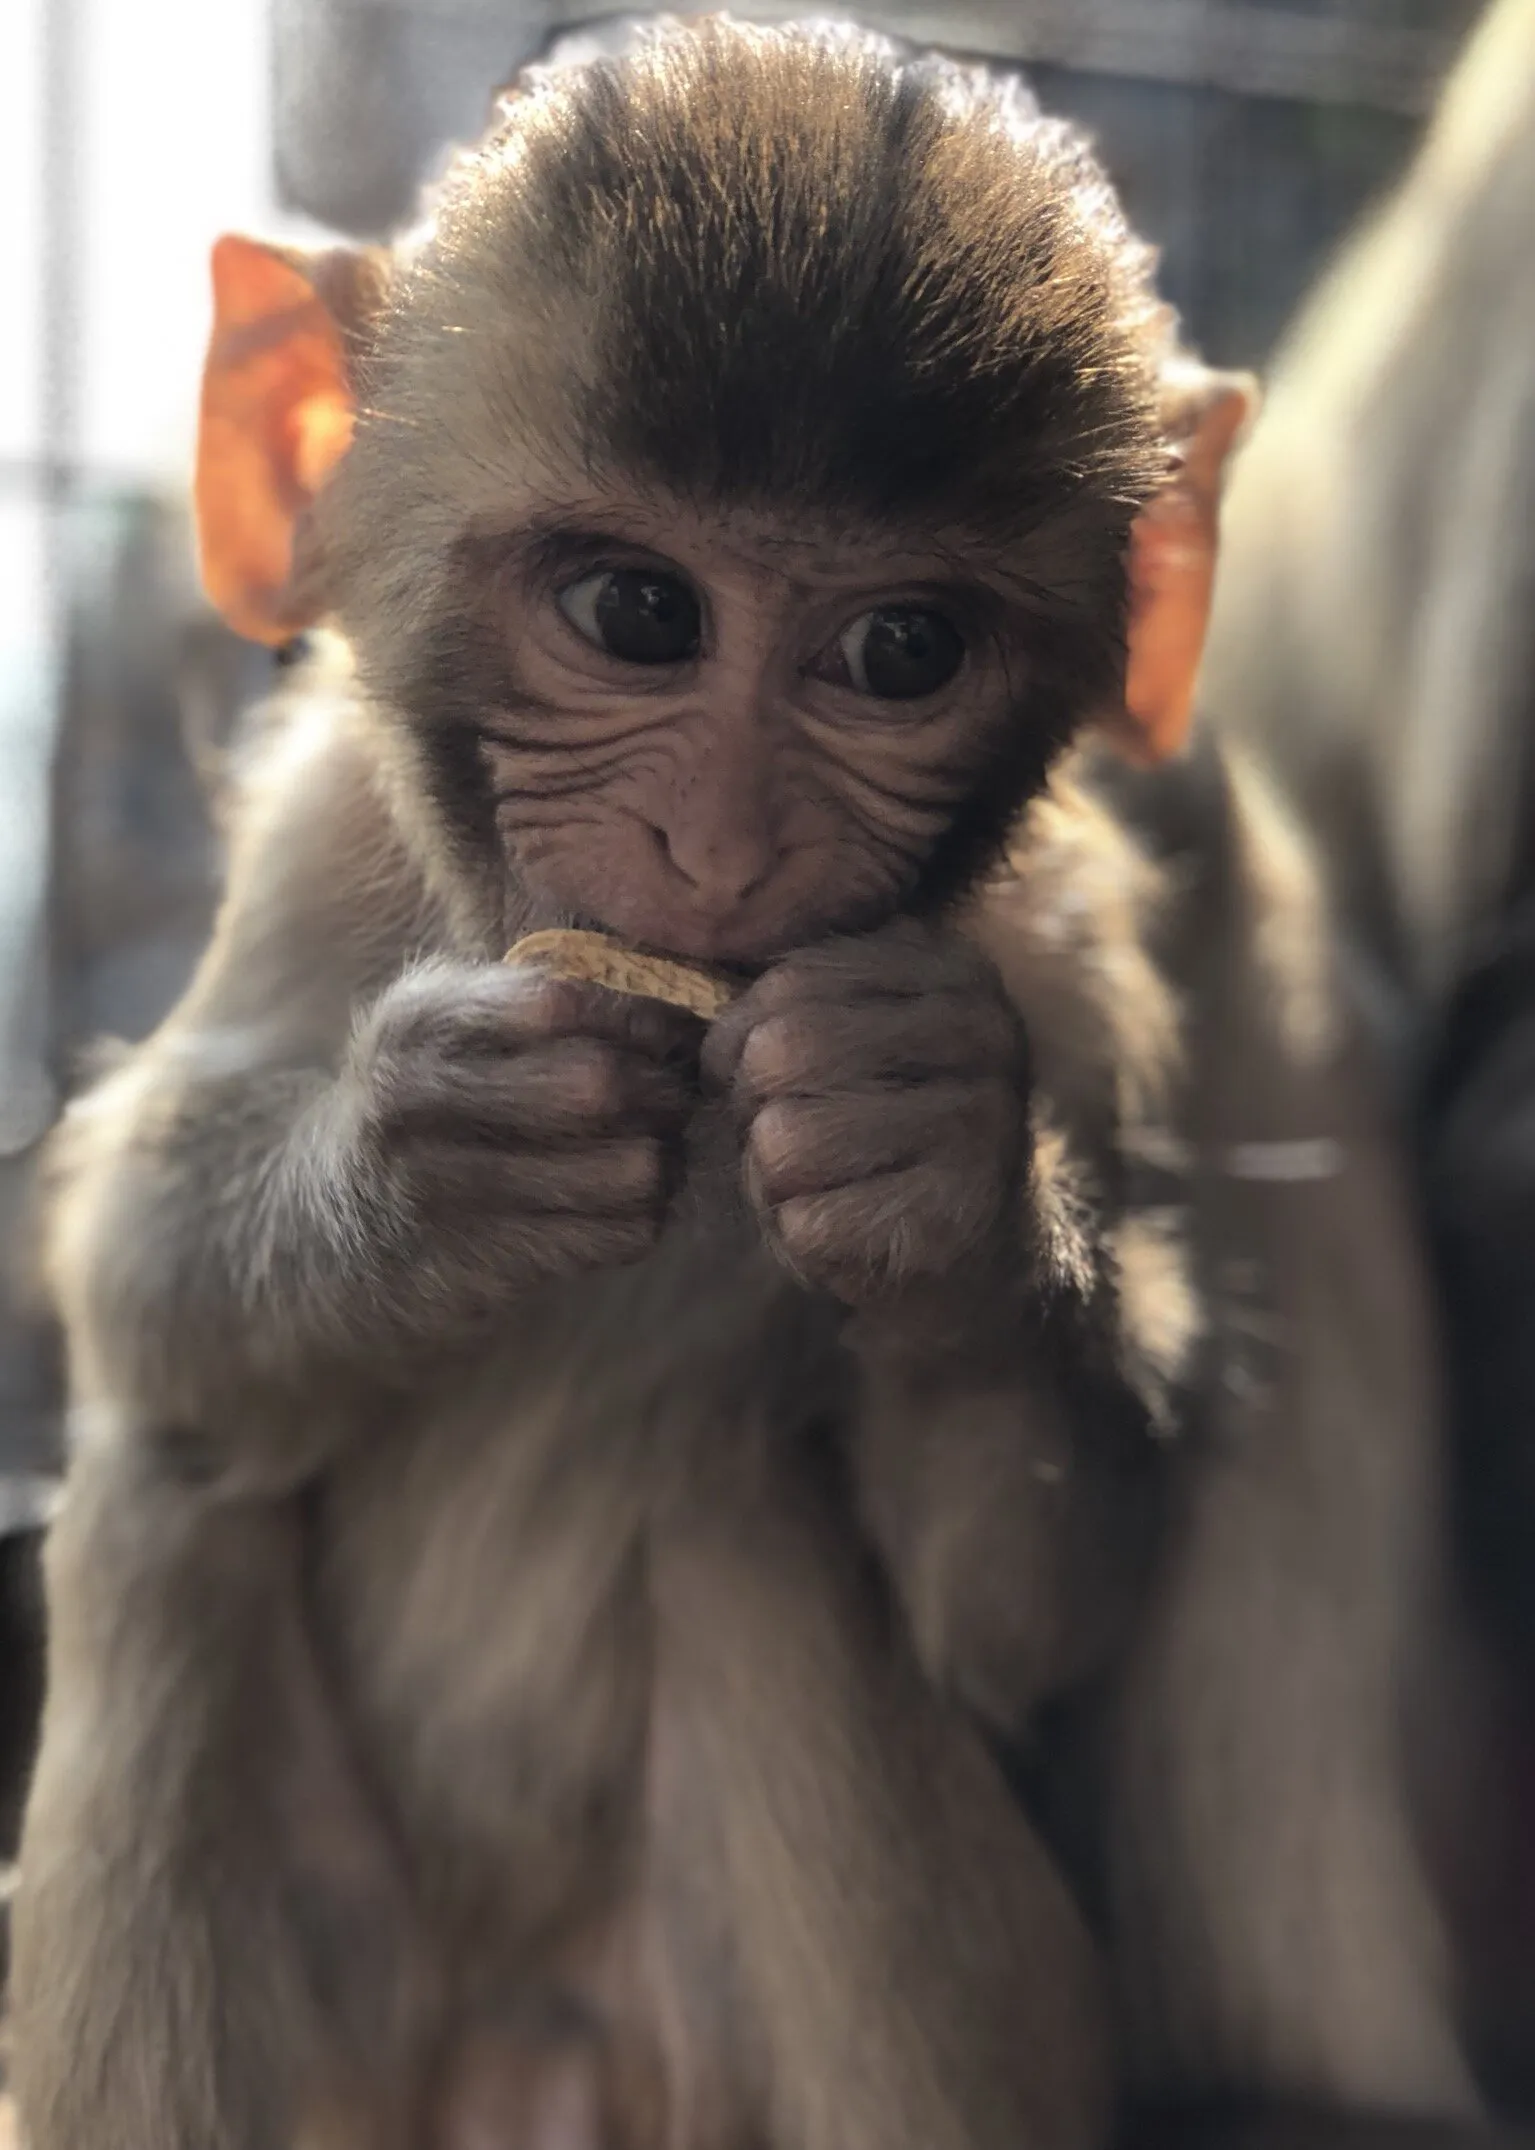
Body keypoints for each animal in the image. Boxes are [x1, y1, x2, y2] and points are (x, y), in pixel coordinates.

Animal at [6, 19, 1484, 2150]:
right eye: (638, 613)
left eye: (901, 648)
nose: (719, 853)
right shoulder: (324, 845)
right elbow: (141, 1289)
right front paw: (423, 1172)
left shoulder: (1080, 973)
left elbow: (1028, 1612)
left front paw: (944, 1198)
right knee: (172, 1499)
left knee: (733, 1529)